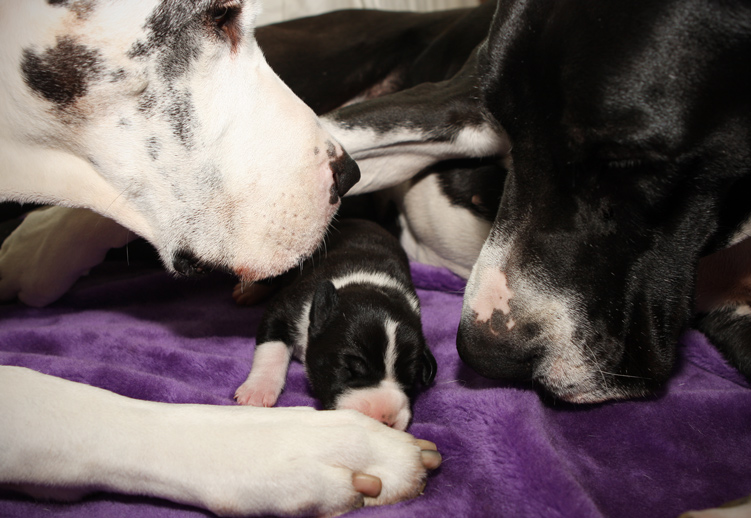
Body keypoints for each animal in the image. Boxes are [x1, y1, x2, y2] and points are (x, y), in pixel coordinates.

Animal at [234, 218, 434, 430]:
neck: (368, 283)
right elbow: (271, 349)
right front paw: (257, 390)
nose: (385, 419)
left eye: (410, 379)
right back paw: (250, 290)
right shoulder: (285, 308)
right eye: (350, 369)